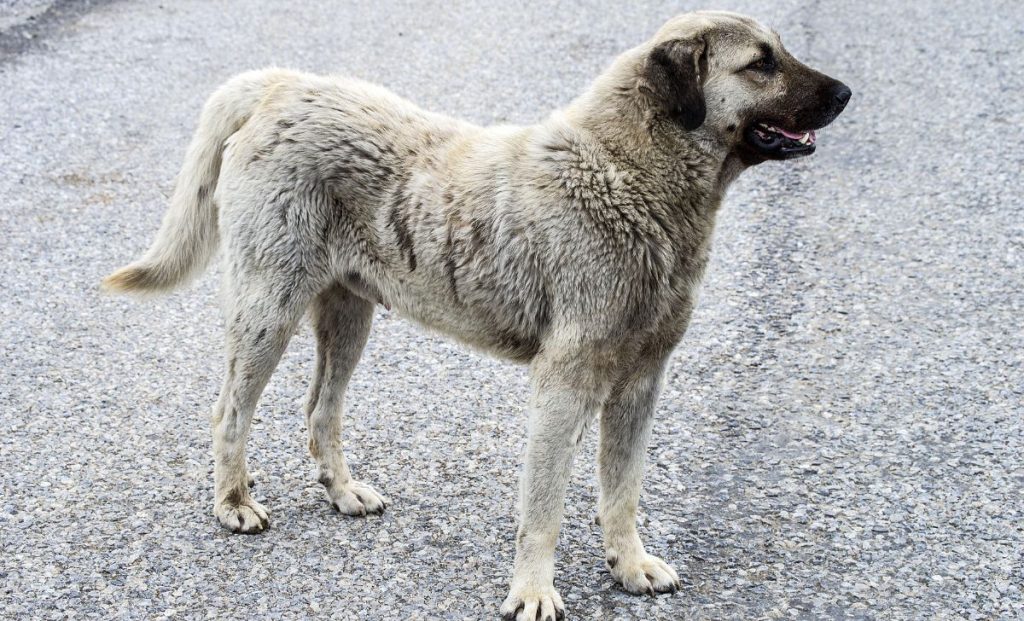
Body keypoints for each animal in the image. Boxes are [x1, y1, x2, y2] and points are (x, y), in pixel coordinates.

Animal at [105, 10, 847, 621]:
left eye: (778, 52)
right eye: (761, 63)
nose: (844, 94)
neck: (627, 175)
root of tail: (279, 85)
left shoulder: (640, 384)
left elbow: (623, 488)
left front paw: (629, 565)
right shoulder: (564, 384)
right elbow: (544, 505)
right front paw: (534, 592)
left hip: (348, 315)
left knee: (321, 410)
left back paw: (342, 491)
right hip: (269, 306)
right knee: (231, 409)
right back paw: (232, 501)